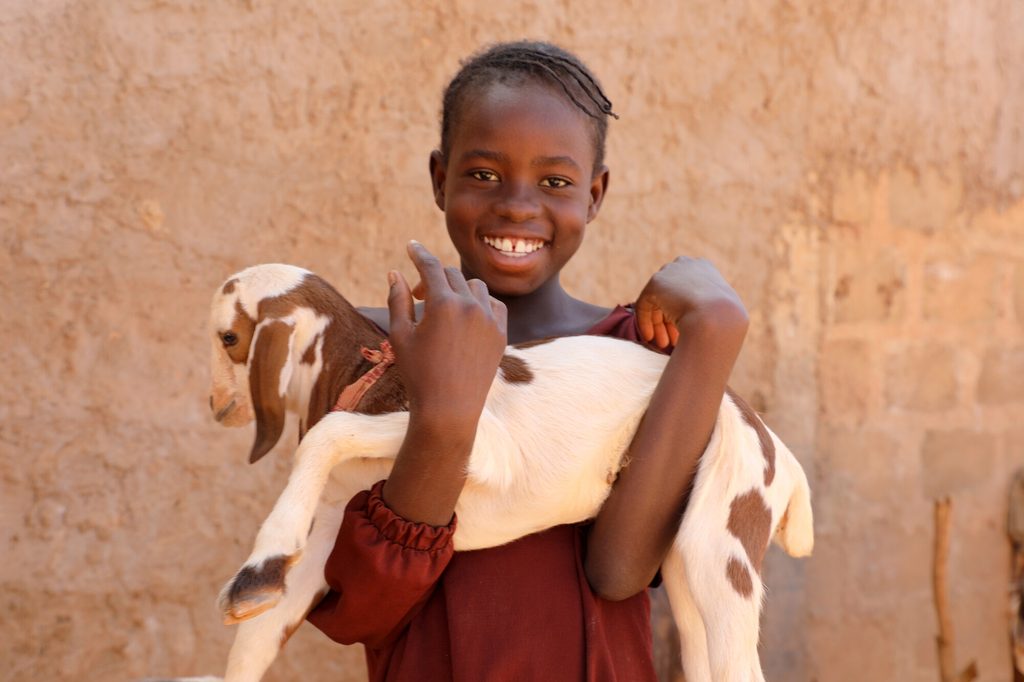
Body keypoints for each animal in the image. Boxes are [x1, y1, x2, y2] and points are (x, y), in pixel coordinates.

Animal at [184, 261, 811, 679]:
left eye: (229, 337)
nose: (215, 404)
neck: (362, 372)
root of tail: (775, 444)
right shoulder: (339, 520)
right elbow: (266, 628)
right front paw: (257, 581)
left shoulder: (478, 442)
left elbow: (325, 433)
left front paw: (259, 562)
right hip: (685, 557)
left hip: (724, 540)